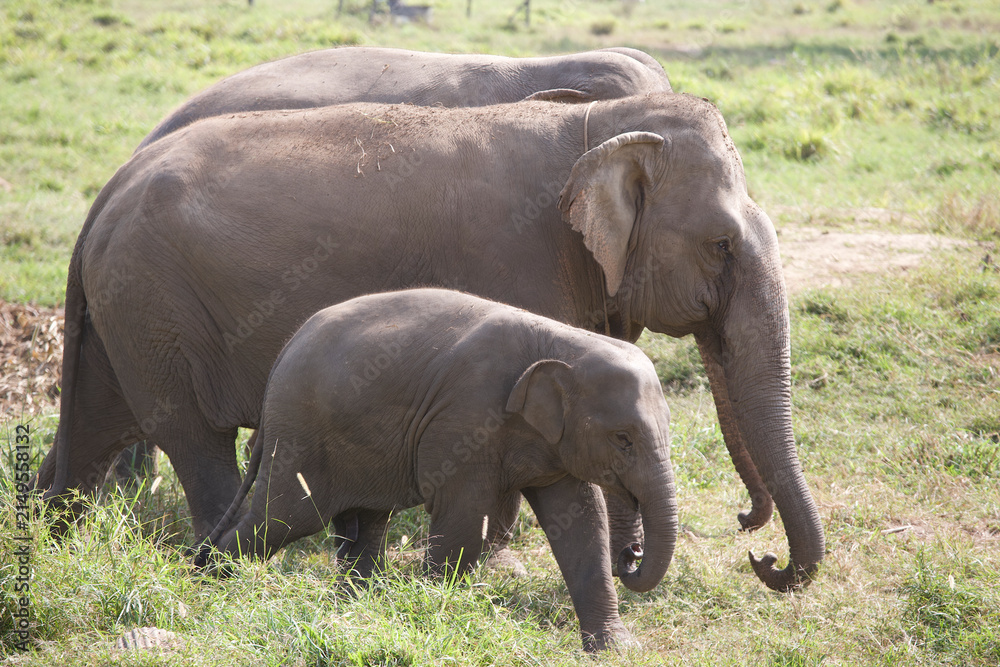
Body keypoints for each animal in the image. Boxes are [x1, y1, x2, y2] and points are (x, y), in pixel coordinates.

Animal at [36, 91, 824, 592]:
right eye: (721, 245)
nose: (759, 551)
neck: (597, 127)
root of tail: (103, 197)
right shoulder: (515, 259)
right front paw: (507, 562)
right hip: (157, 307)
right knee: (196, 439)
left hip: (123, 313)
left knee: (94, 433)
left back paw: (45, 539)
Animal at [197, 288, 678, 652]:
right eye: (623, 438)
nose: (632, 554)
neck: (564, 342)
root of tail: (283, 355)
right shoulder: (464, 420)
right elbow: (465, 522)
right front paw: (433, 617)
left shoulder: (552, 443)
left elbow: (583, 524)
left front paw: (616, 650)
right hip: (299, 432)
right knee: (287, 517)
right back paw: (213, 587)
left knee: (365, 523)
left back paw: (352, 606)